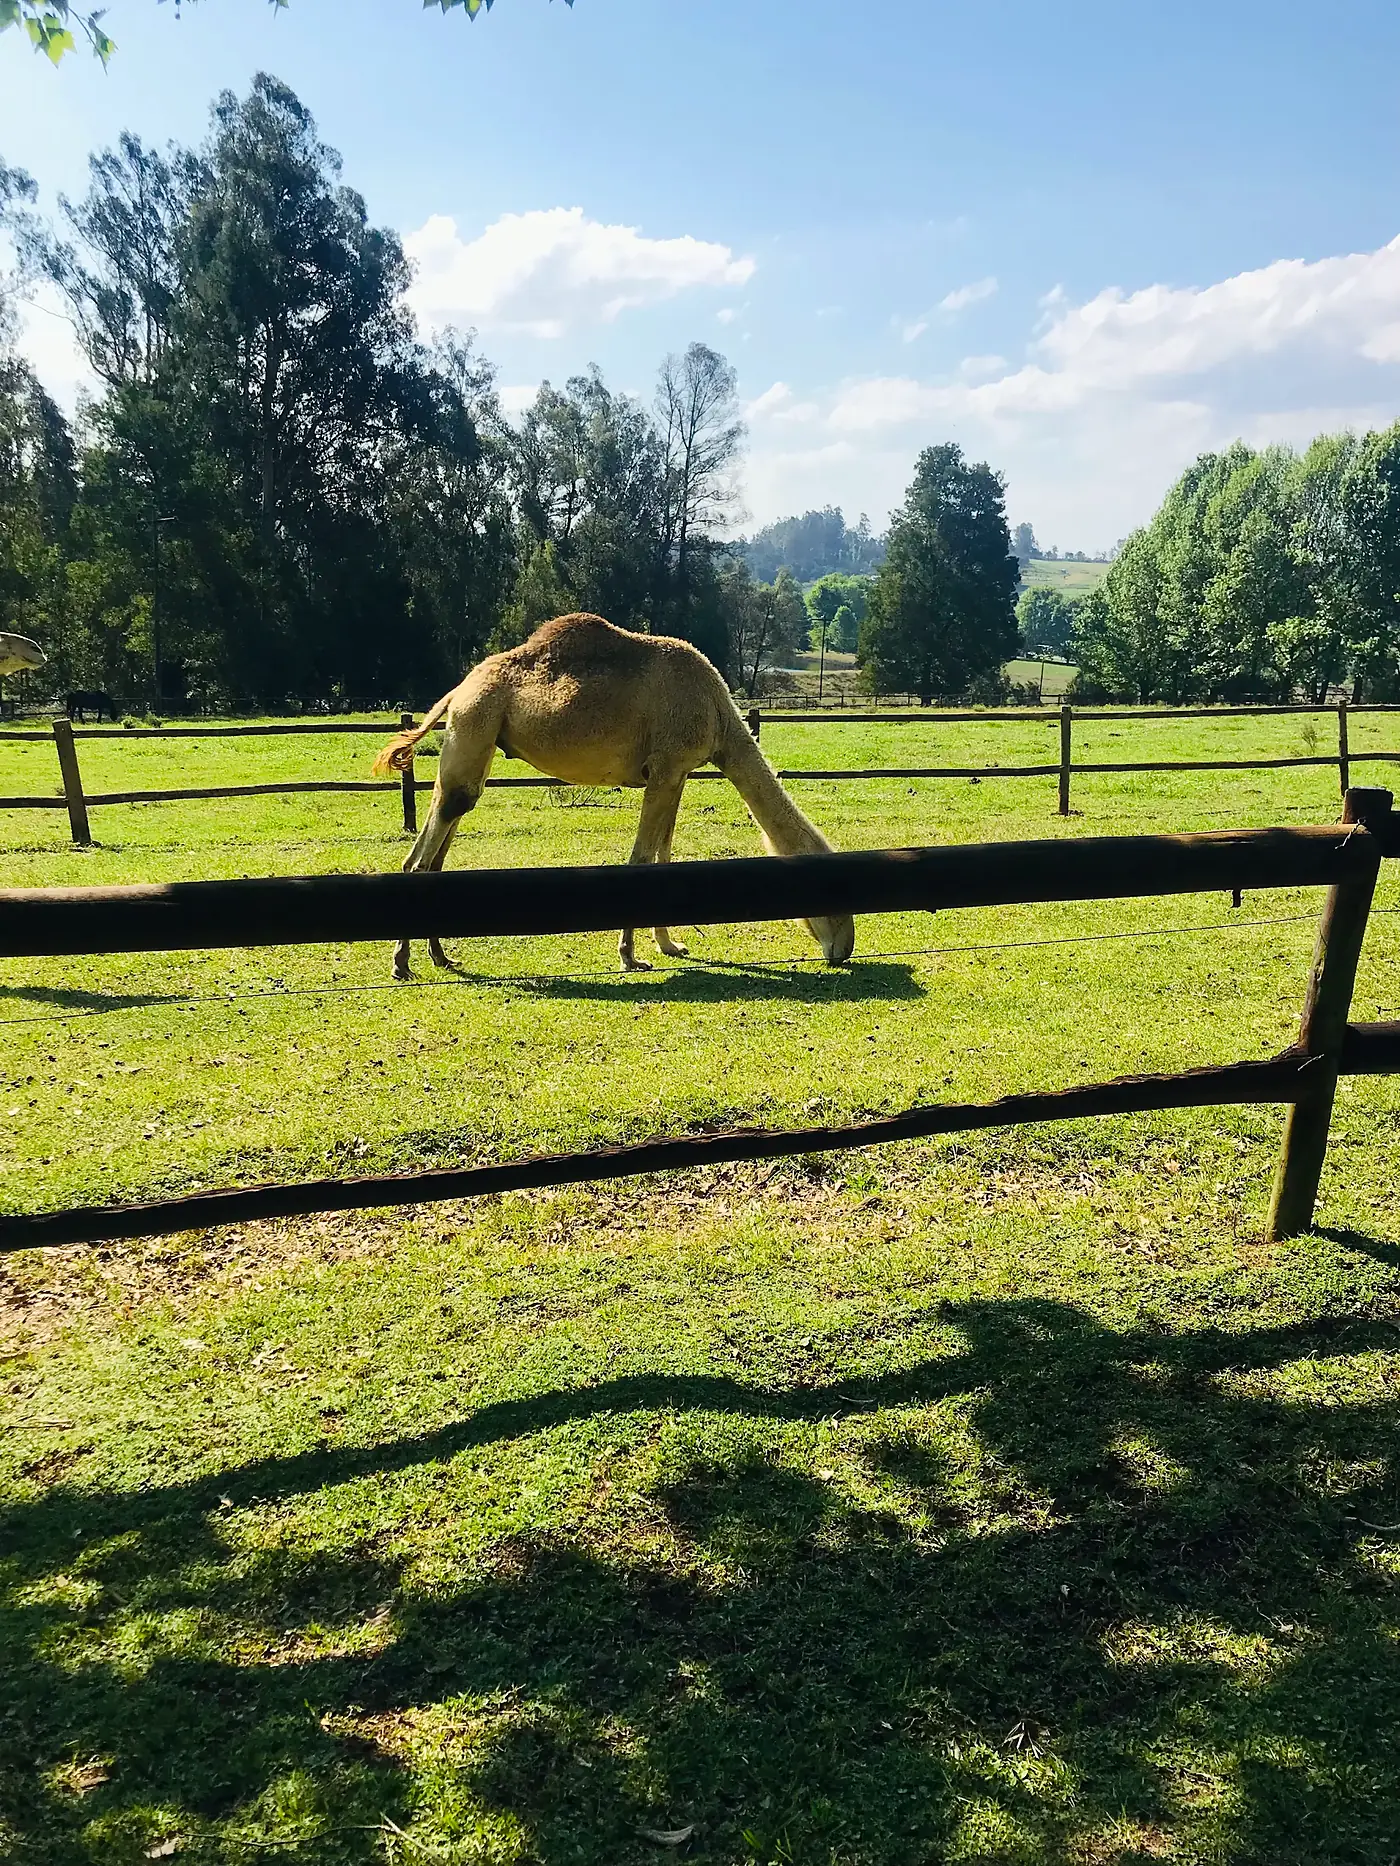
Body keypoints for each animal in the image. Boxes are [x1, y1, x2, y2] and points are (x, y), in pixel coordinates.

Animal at [372, 612, 857, 978]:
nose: (843, 949)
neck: (720, 717)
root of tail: (458, 689)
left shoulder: (676, 772)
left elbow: (663, 855)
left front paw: (671, 946)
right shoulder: (665, 767)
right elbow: (641, 858)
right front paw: (630, 956)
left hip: (474, 739)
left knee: (439, 837)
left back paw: (440, 956)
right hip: (475, 723)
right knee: (430, 845)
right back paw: (401, 963)